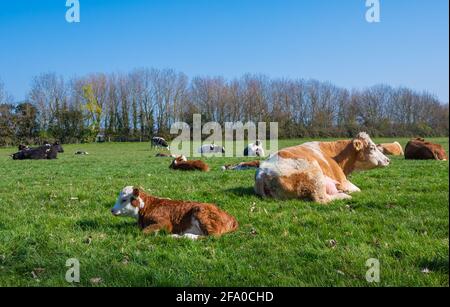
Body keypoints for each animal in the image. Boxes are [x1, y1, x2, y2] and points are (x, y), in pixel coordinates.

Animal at [111, 185, 239, 241]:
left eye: (124, 199)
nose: (112, 210)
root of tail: (231, 217)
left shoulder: (165, 223)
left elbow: (144, 232)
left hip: (202, 215)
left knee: (212, 236)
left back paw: (180, 236)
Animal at [256, 132, 390, 205]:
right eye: (372, 147)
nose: (388, 160)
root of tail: (263, 171)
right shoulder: (343, 180)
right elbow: (358, 189)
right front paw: (348, 191)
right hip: (314, 173)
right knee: (321, 198)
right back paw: (344, 195)